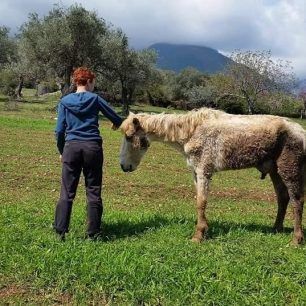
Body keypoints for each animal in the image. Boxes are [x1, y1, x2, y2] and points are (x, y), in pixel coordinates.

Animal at [117, 109, 306, 245]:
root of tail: (301, 132)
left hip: (289, 168)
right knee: (283, 198)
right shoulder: (195, 172)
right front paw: (203, 230)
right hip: (275, 170)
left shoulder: (203, 170)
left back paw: (296, 239)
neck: (191, 131)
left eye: (128, 137)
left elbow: (201, 202)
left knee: (297, 201)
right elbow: (199, 201)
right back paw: (276, 228)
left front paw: (198, 235)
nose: (124, 166)